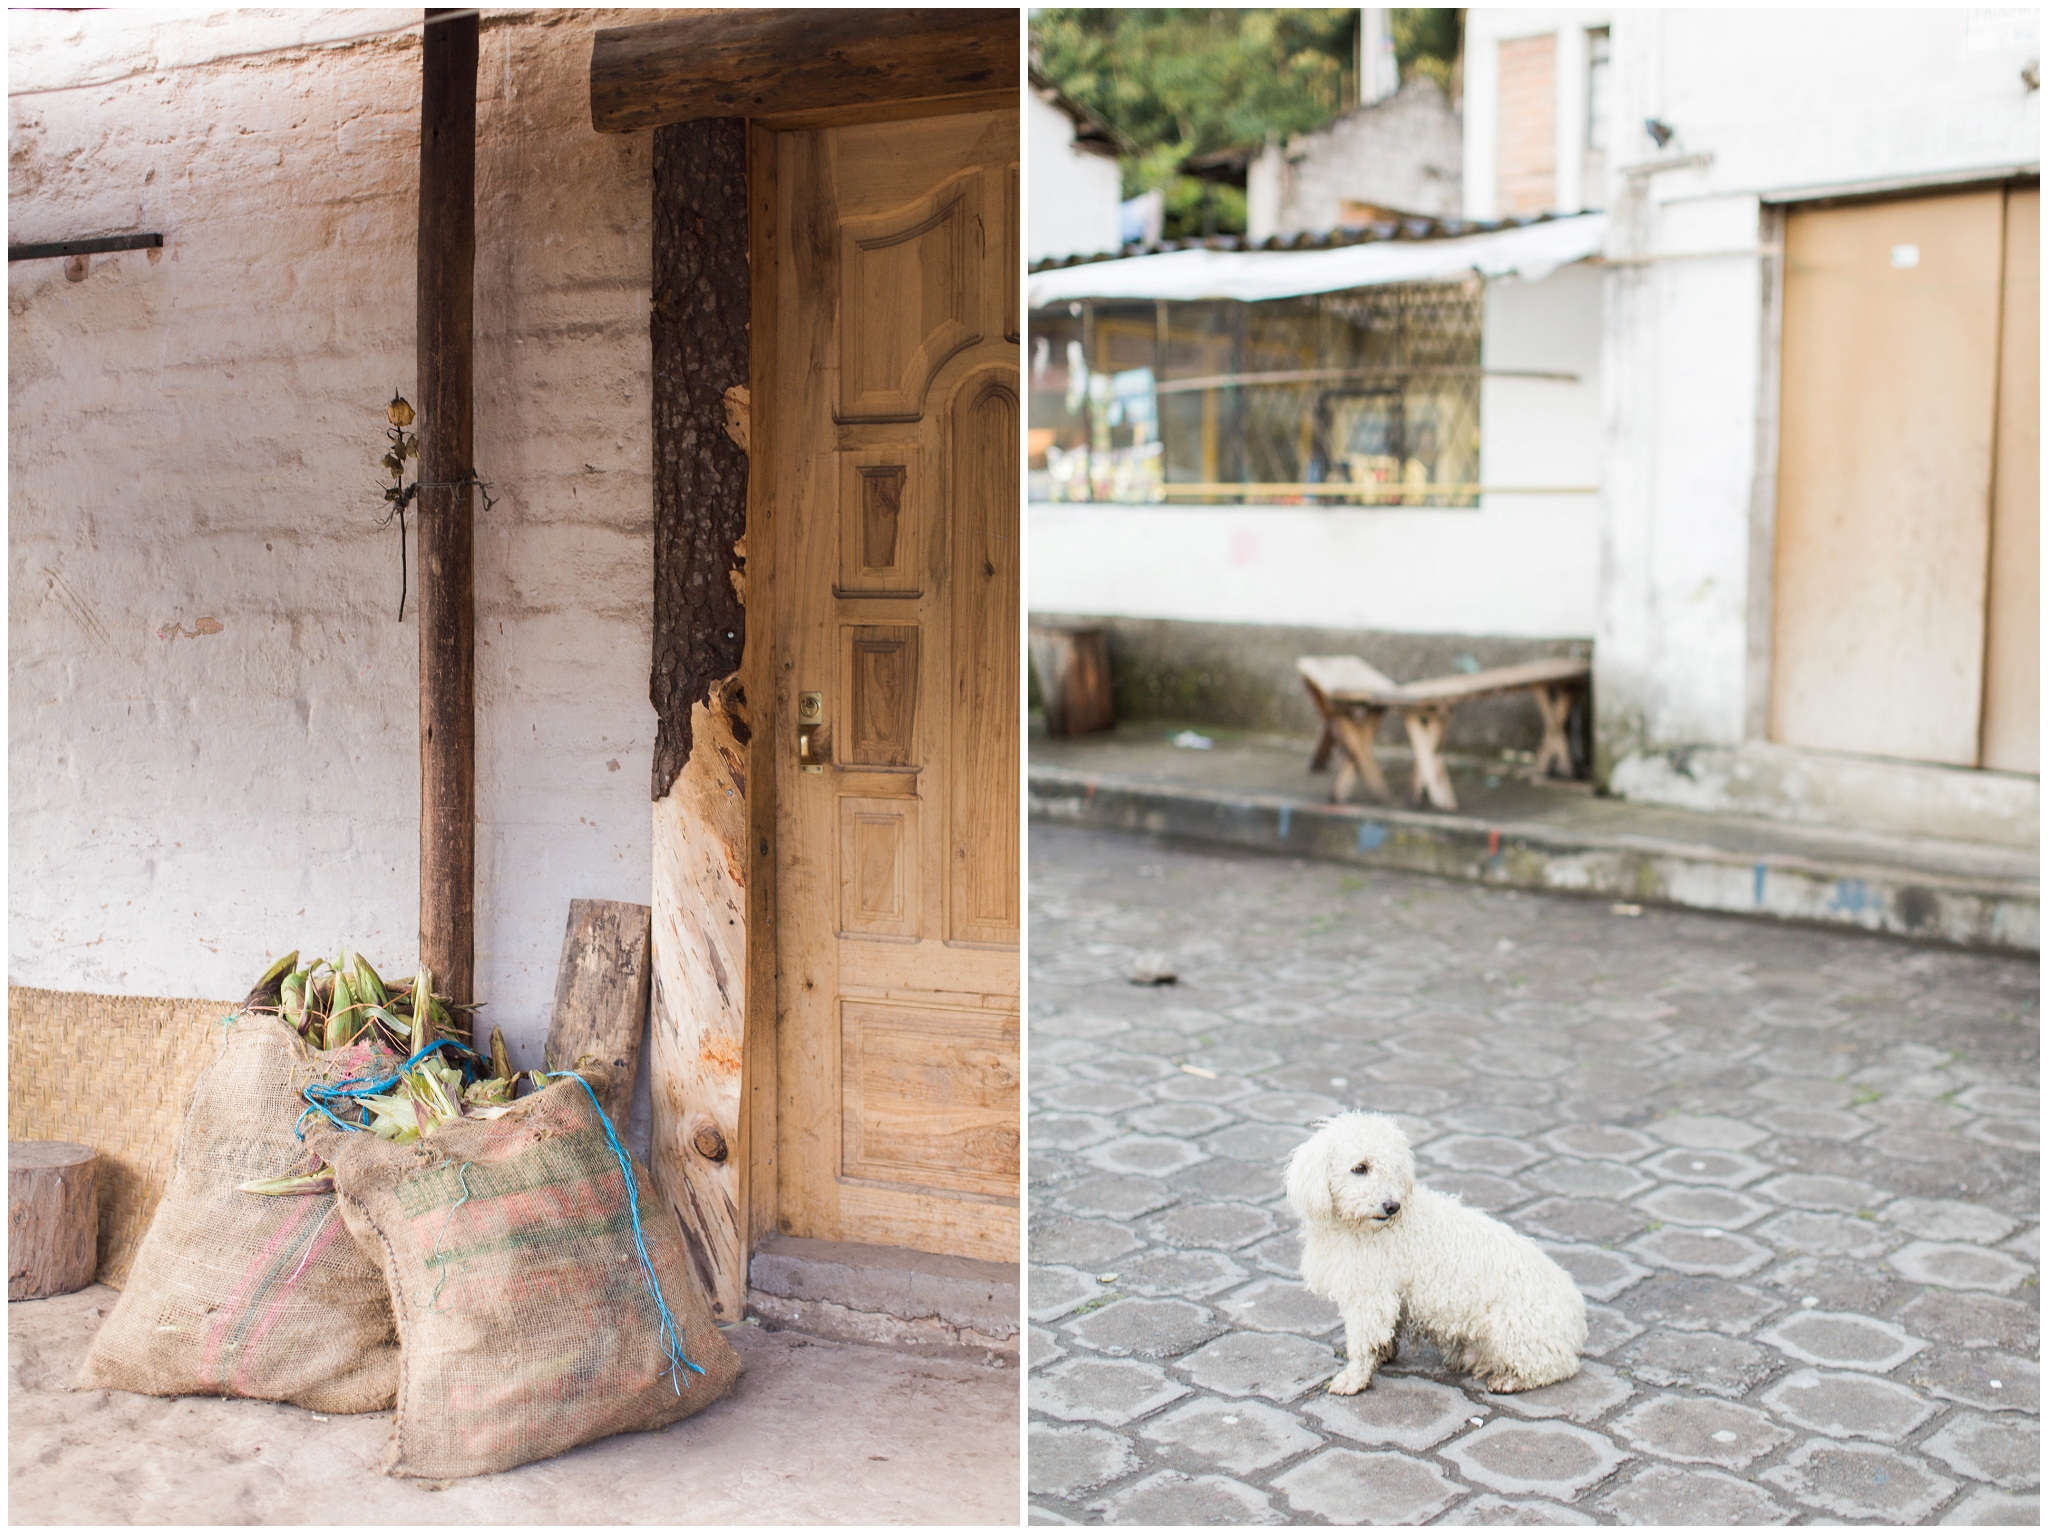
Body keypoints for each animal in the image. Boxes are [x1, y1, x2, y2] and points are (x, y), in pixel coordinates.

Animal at [1286, 1105, 1589, 1392]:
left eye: (1394, 1170)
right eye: (1360, 1168)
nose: (1392, 1206)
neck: (1357, 1228)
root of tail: (1577, 1315)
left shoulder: (1369, 1296)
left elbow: (1363, 1344)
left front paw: (1353, 1380)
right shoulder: (1390, 1296)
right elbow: (1385, 1334)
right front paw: (1383, 1356)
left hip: (1514, 1332)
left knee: (1557, 1367)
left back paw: (1510, 1380)